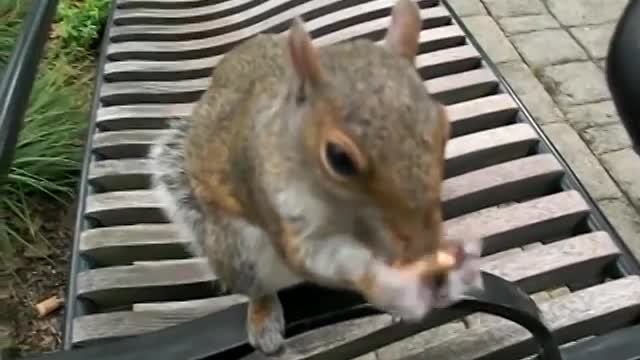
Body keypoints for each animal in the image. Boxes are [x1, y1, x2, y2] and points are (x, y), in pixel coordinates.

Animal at [149, 0, 480, 354]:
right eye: (339, 158)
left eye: (444, 125)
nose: (422, 245)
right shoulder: (277, 203)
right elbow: (316, 258)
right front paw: (387, 288)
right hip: (237, 250)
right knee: (257, 288)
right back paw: (263, 316)